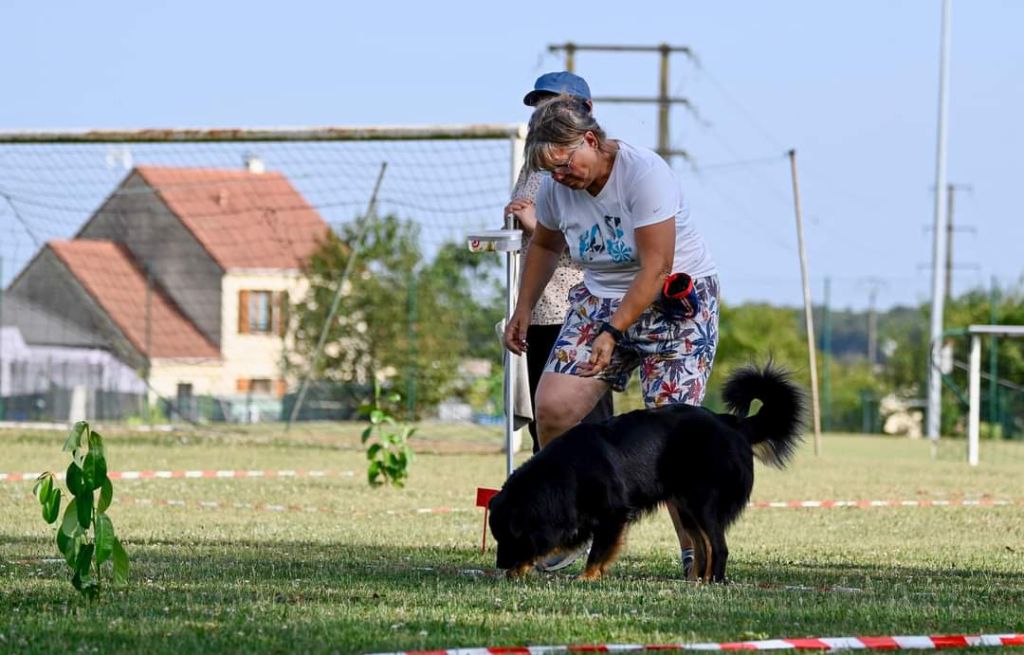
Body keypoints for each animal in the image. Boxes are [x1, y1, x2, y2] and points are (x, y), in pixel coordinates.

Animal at [489, 364, 806, 581]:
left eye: (508, 535)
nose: (500, 564)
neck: (566, 474)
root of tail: (733, 424)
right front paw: (520, 570)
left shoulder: (614, 514)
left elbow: (598, 550)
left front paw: (587, 577)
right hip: (685, 504)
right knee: (702, 544)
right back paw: (695, 581)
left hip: (702, 501)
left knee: (718, 545)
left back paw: (712, 581)